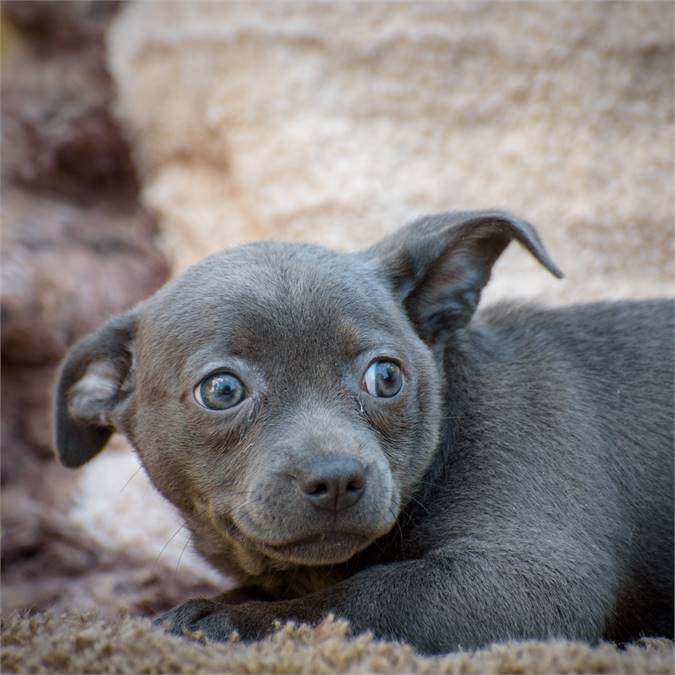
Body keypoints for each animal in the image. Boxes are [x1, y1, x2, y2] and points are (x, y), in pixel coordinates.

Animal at [55, 213, 672, 656]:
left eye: (386, 377)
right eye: (222, 390)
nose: (335, 479)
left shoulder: (528, 579)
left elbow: (363, 598)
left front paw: (223, 618)